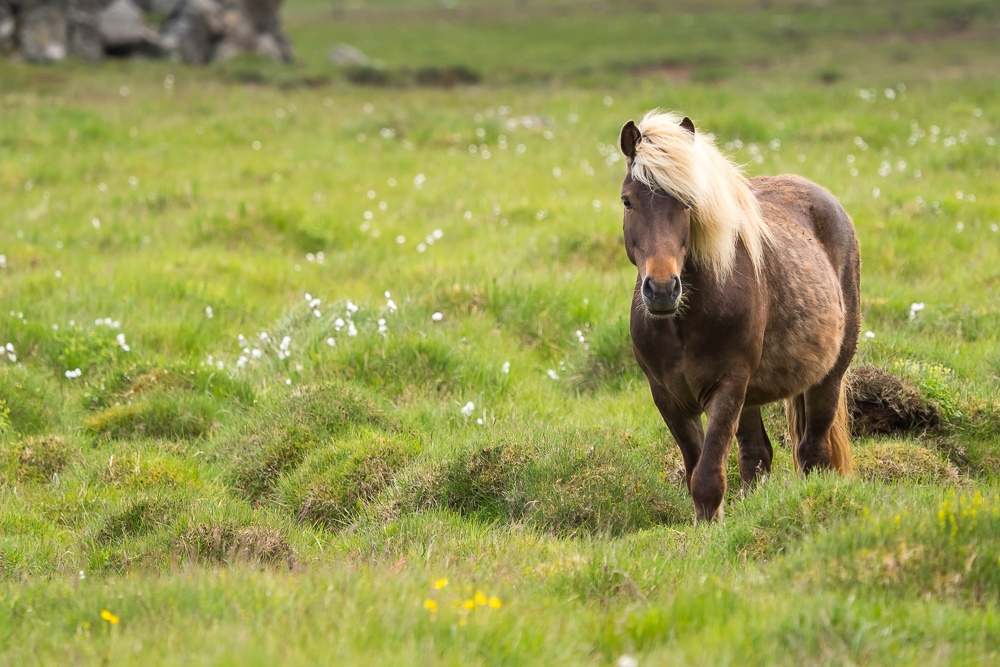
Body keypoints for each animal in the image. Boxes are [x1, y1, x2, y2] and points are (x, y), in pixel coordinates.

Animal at [616, 112, 860, 520]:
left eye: (688, 203)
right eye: (627, 201)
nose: (663, 289)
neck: (683, 325)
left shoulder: (727, 387)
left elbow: (707, 478)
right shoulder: (668, 397)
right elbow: (696, 470)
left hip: (828, 375)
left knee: (813, 451)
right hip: (752, 394)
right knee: (757, 456)